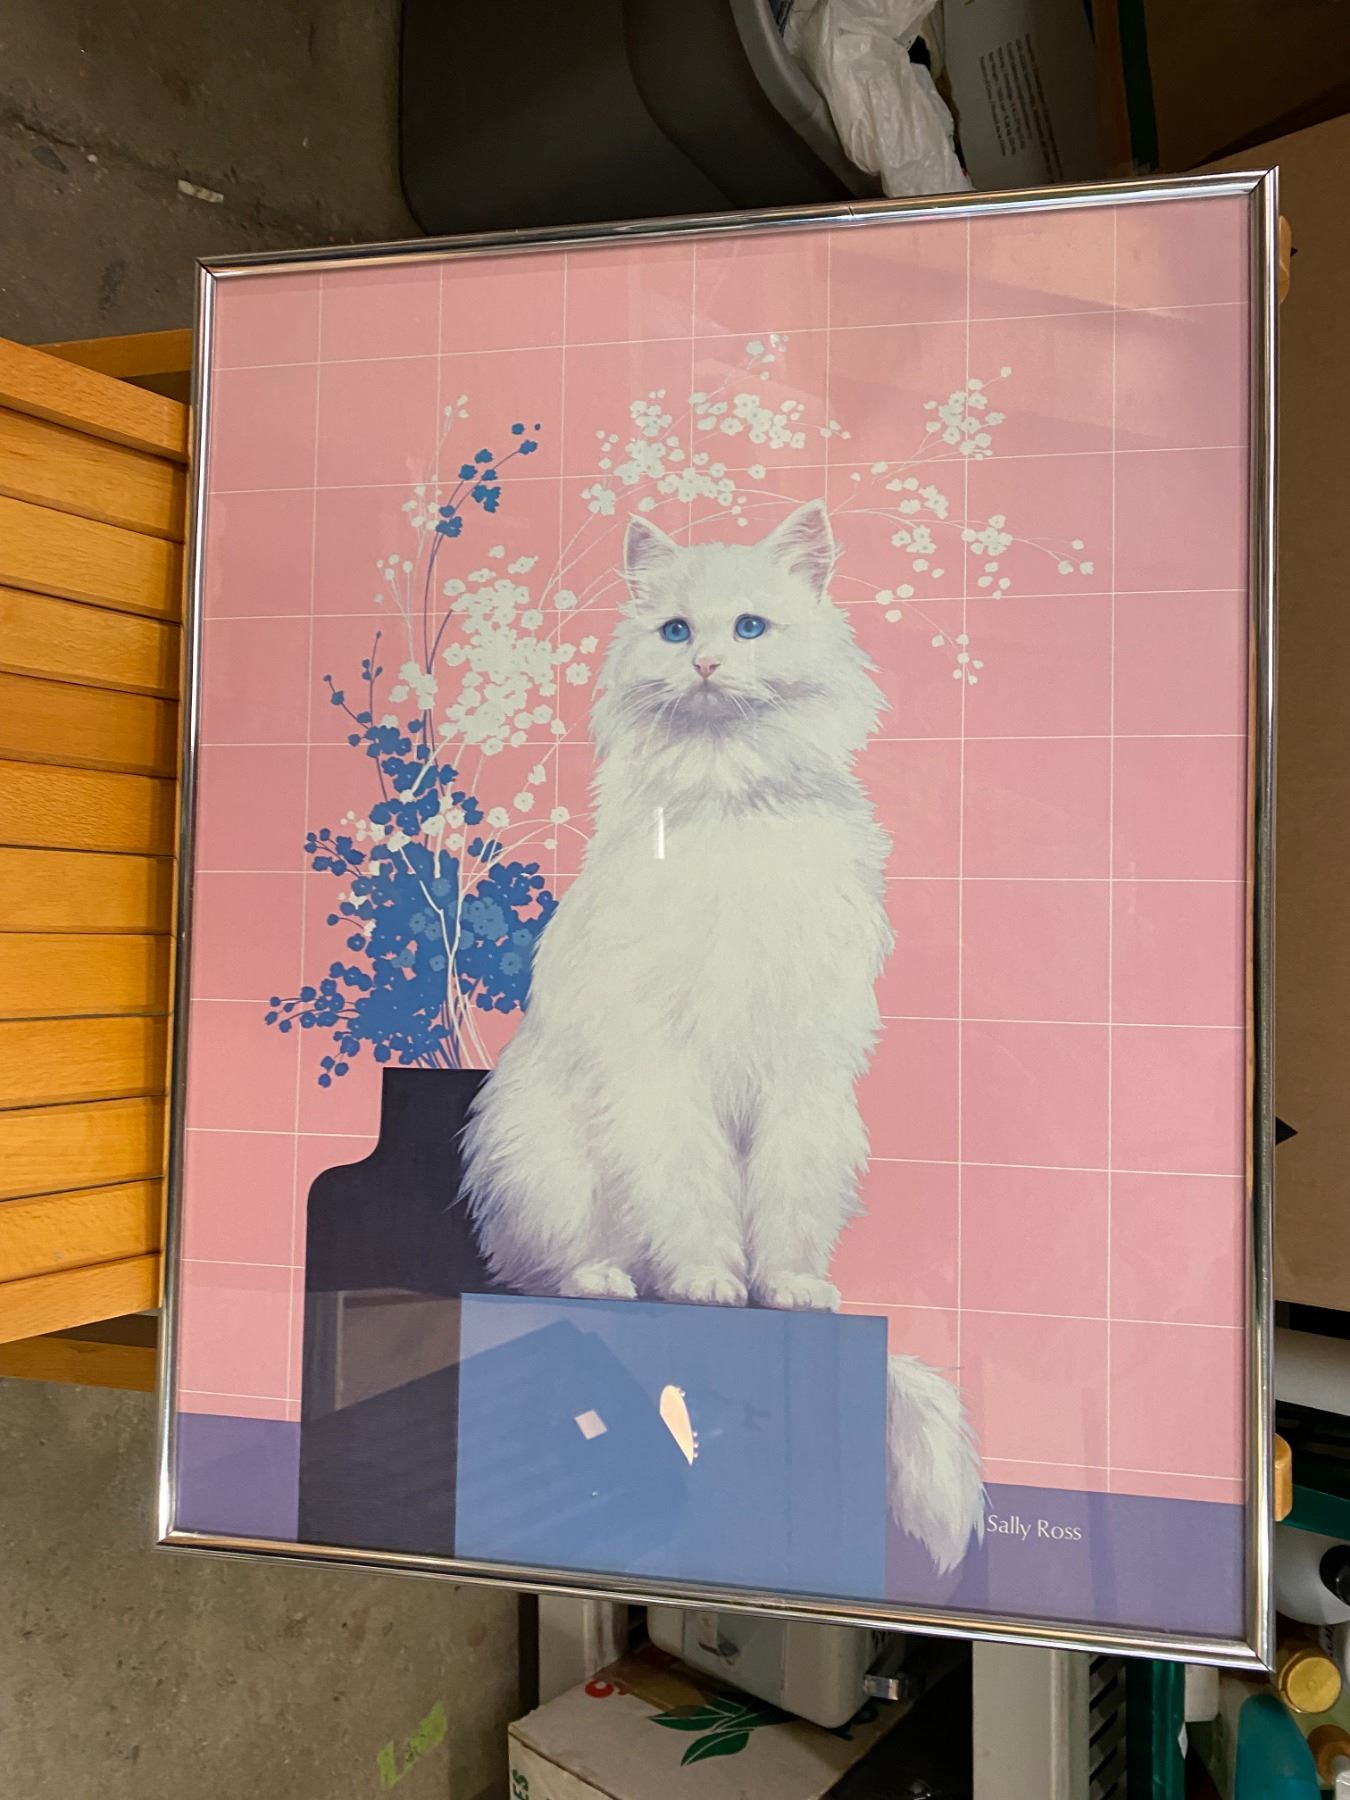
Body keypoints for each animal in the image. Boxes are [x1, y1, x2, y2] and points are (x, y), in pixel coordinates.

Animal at [462, 500, 984, 1572]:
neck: (734, 799)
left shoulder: (802, 1071)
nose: (704, 664)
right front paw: (707, 1282)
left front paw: (783, 1288)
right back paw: (615, 1279)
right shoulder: (665, 1063)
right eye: (673, 632)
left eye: (747, 628)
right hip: (543, 1159)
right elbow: (691, 1192)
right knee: (546, 1271)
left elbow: (784, 1202)